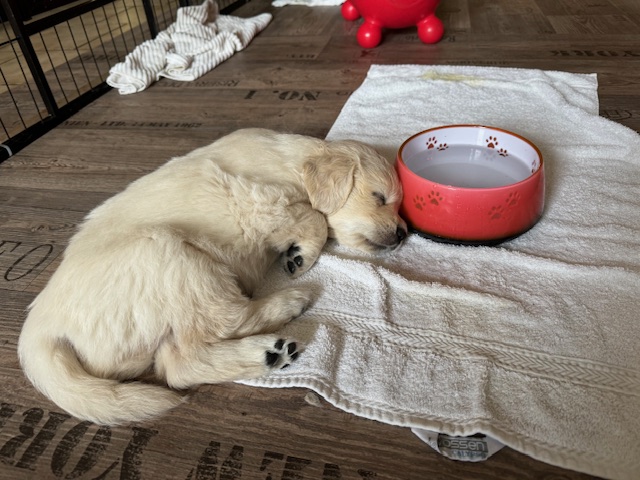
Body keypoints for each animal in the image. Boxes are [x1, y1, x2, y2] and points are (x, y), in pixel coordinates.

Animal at [18, 128, 407, 425]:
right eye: (379, 197)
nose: (404, 233)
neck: (290, 164)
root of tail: (39, 331)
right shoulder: (257, 204)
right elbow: (314, 218)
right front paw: (301, 256)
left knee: (178, 364)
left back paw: (268, 354)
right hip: (170, 255)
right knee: (223, 323)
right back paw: (289, 305)